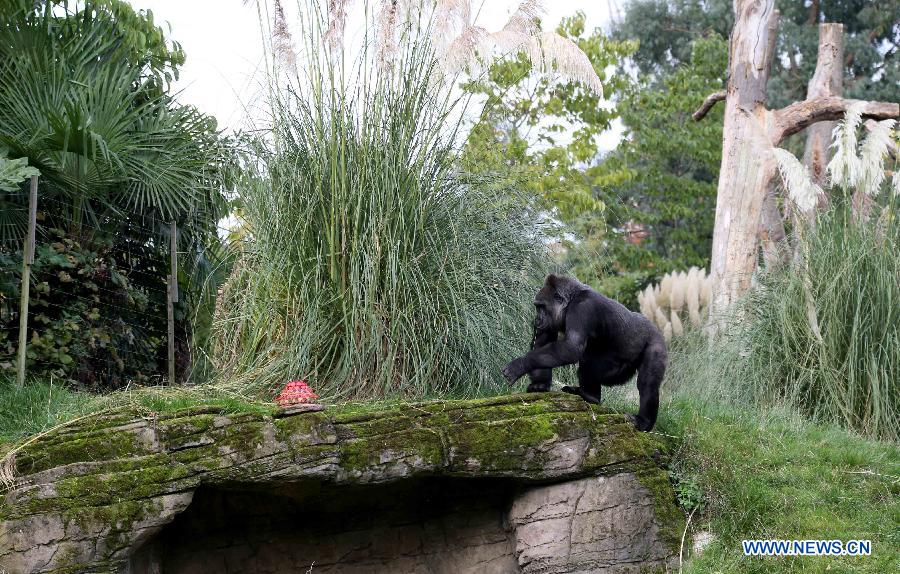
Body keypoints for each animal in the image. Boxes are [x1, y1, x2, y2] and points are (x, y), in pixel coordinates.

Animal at [502, 276, 664, 432]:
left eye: (542, 307)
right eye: (537, 307)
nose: (537, 319)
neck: (571, 298)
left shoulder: (582, 308)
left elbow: (572, 348)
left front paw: (519, 365)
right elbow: (542, 343)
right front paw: (539, 385)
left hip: (655, 342)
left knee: (646, 383)